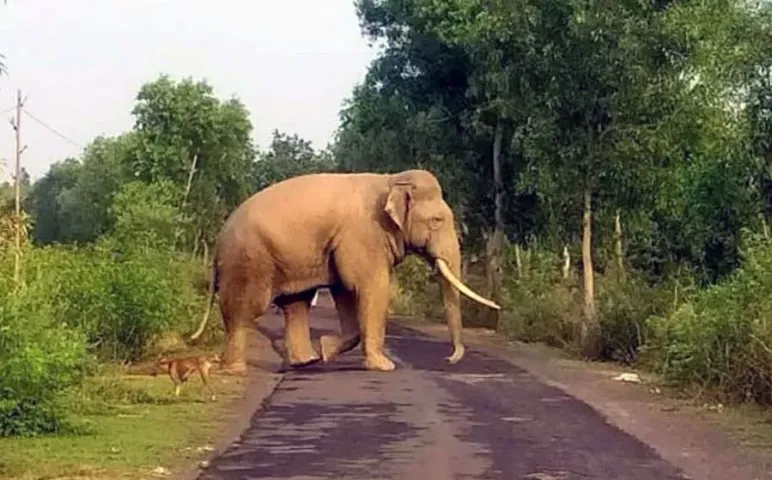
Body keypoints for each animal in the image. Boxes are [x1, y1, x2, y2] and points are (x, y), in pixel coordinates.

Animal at [189, 169, 500, 374]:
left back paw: (308, 361)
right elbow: (370, 286)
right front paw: (384, 366)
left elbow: (345, 290)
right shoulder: (364, 234)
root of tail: (218, 241)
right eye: (437, 220)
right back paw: (234, 370)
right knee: (245, 310)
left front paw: (327, 349)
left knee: (296, 304)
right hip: (248, 261)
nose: (448, 360)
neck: (391, 180)